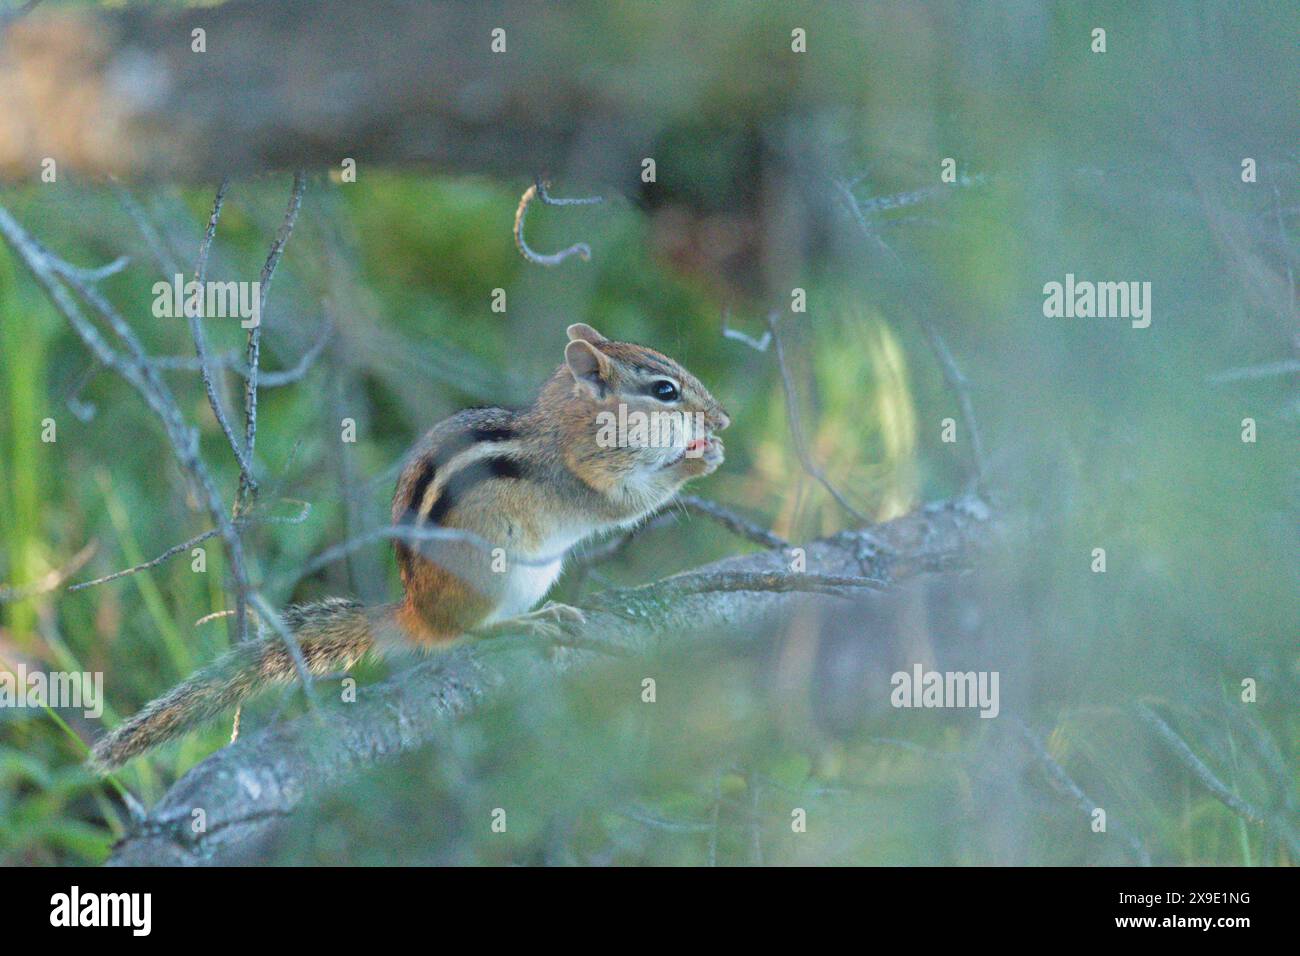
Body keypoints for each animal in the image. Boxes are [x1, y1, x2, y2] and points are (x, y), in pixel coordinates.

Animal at [88, 323, 730, 772]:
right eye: (665, 391)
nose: (721, 418)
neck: (572, 424)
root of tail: (416, 611)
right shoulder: (584, 477)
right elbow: (626, 505)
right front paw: (697, 460)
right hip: (494, 569)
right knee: (464, 635)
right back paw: (522, 624)